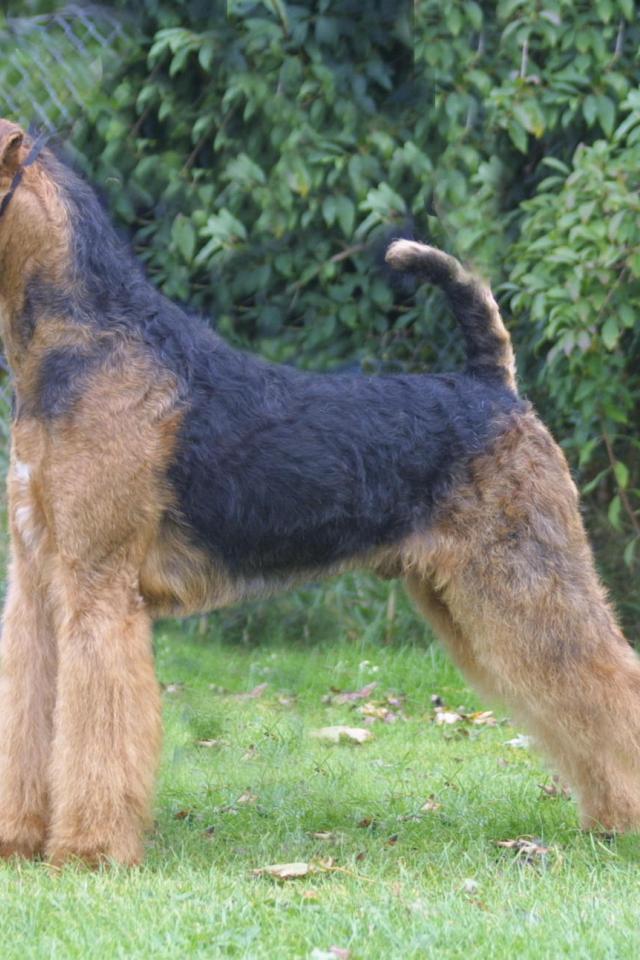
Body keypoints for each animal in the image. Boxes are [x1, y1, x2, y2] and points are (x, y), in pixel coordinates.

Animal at [0, 118, 638, 866]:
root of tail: (496, 387)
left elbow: (94, 727)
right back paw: (607, 820)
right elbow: (28, 715)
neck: (83, 339)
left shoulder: (99, 587)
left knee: (605, 679)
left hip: (527, 578)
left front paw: (88, 851)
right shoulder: (38, 582)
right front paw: (19, 837)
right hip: (466, 596)